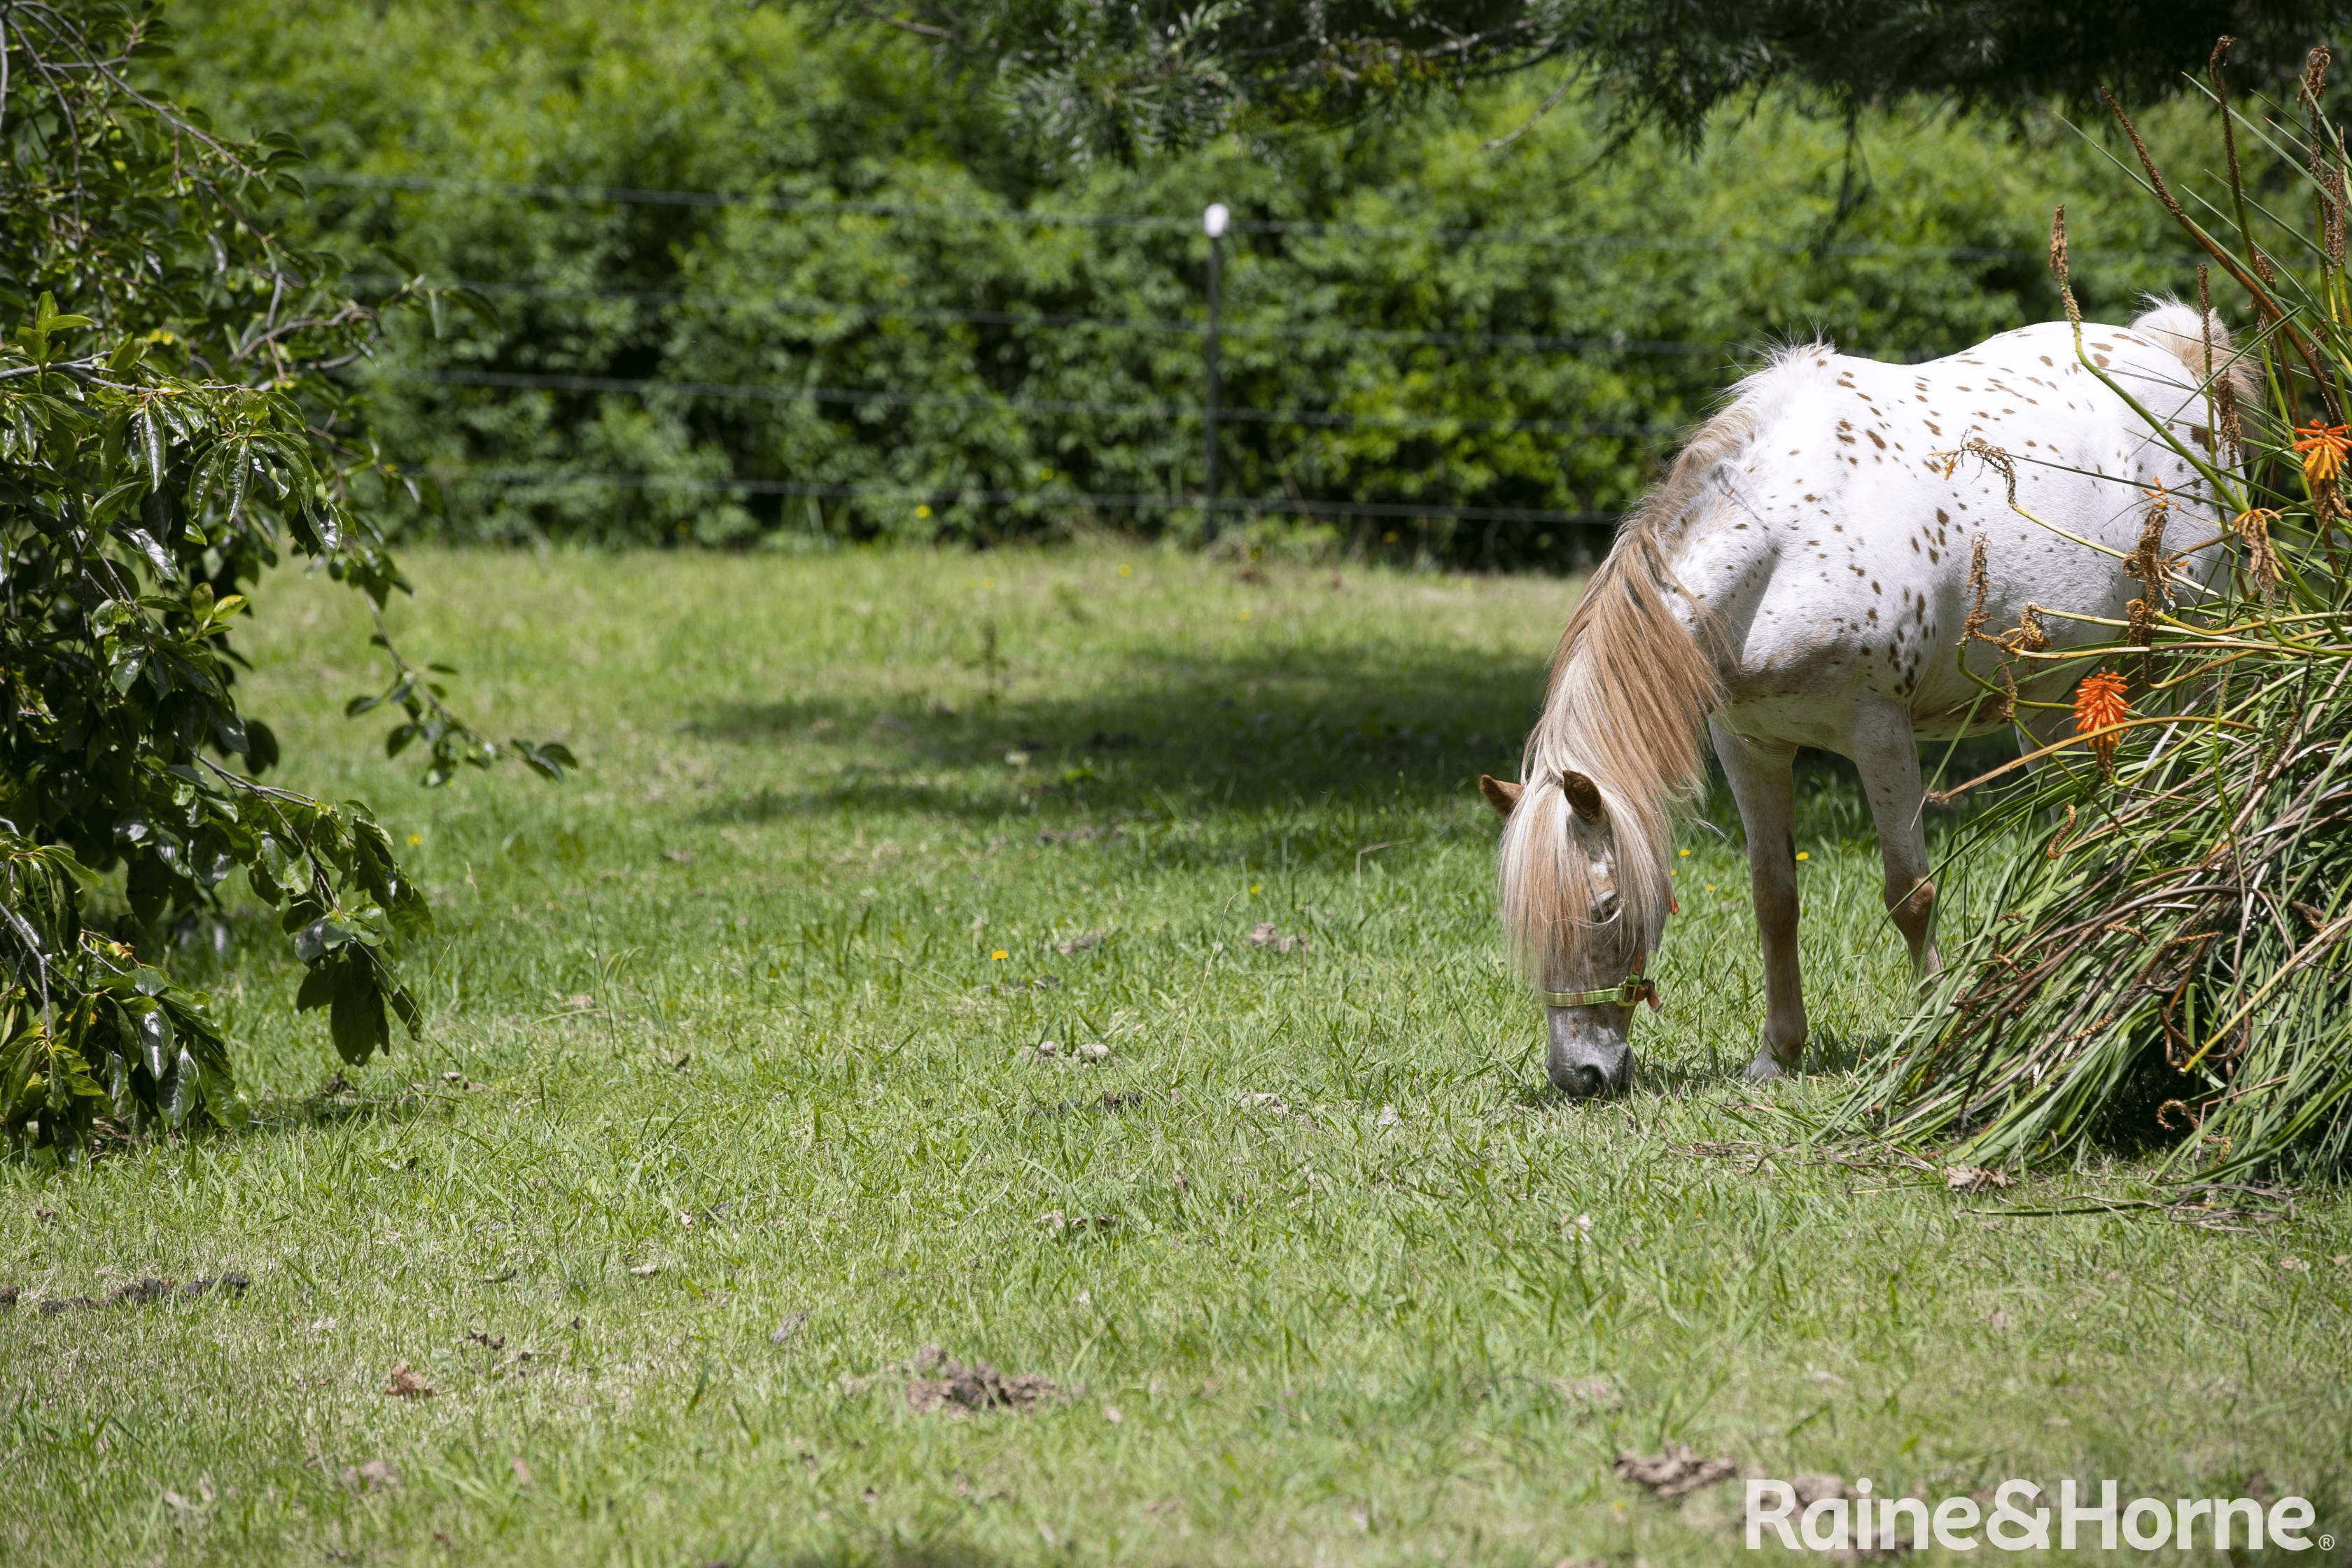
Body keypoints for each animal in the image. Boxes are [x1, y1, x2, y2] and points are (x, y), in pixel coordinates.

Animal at [1486, 303, 2239, 1091]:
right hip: (2050, 704)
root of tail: (2174, 352)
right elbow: (1773, 898)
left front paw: (1930, 1037)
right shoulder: (1750, 746)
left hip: (2195, 661)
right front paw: (1777, 1053)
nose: (1580, 1075)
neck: (1784, 545)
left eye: (1603, 907)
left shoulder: (1880, 734)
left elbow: (1910, 892)